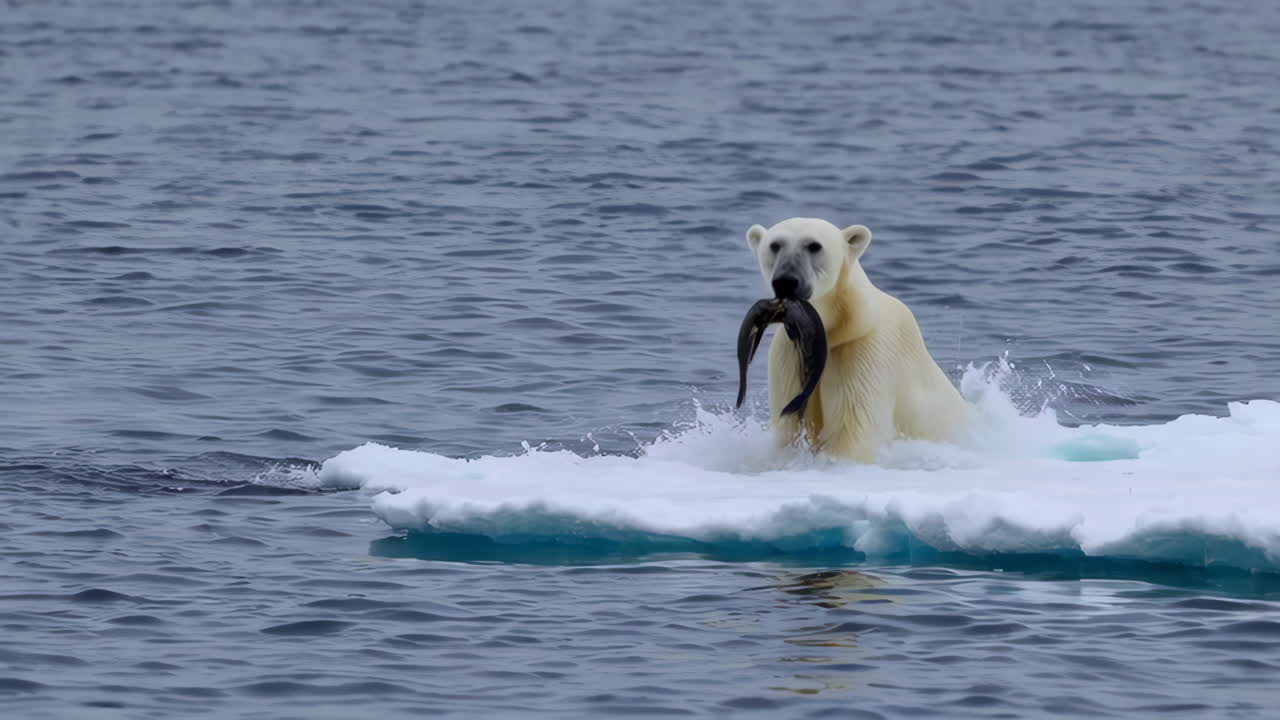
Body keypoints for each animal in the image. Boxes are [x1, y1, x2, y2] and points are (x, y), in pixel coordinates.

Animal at [745, 217, 974, 462]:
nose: (786, 281)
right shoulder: (790, 353)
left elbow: (854, 430)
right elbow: (789, 425)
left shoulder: (864, 350)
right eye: (775, 245)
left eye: (814, 246)